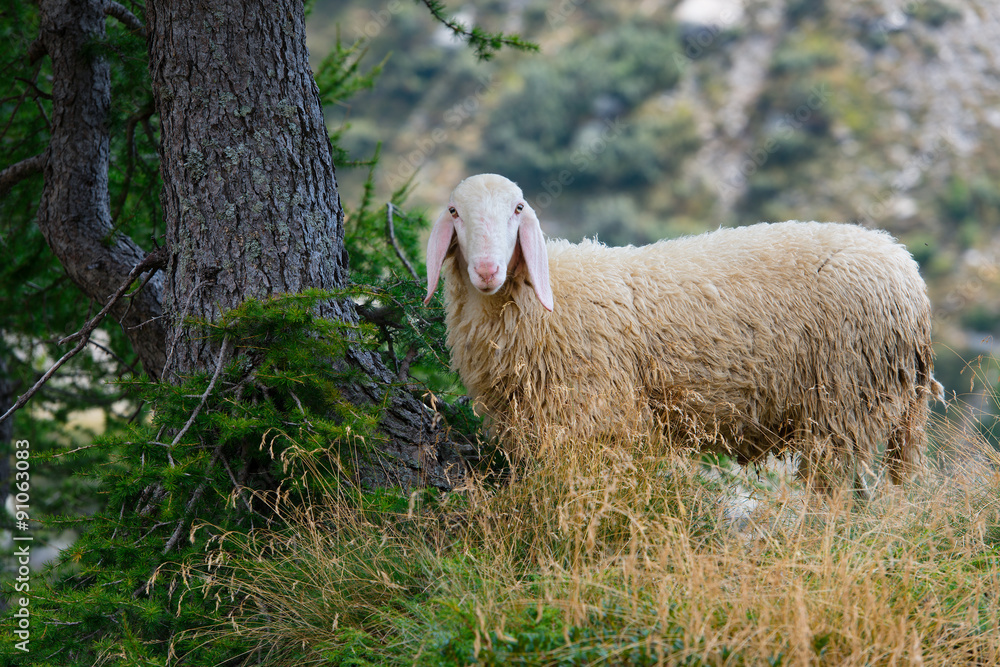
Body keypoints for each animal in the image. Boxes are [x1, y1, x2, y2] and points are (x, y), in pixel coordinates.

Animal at [424, 173, 941, 491]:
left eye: (517, 209)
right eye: (453, 211)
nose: (487, 270)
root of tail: (908, 272)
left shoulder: (595, 422)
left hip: (843, 397)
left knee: (836, 489)